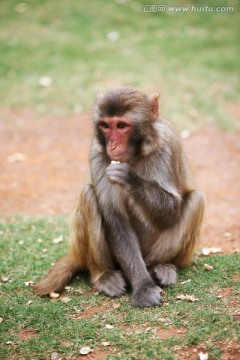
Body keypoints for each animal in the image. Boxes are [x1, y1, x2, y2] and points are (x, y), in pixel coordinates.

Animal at [32, 87, 204, 306]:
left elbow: (171, 210)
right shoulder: (97, 152)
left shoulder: (167, 144)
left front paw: (130, 178)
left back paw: (161, 266)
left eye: (121, 126)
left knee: (196, 199)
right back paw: (103, 275)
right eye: (105, 125)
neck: (135, 155)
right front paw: (143, 287)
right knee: (88, 194)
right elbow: (115, 219)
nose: (112, 145)